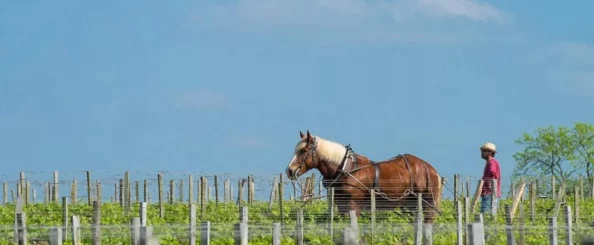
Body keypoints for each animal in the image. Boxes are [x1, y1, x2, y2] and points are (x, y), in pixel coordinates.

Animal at [284, 130, 442, 224]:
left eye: (304, 151)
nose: (289, 171)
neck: (346, 169)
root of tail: (430, 169)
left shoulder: (354, 205)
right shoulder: (341, 205)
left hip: (427, 203)